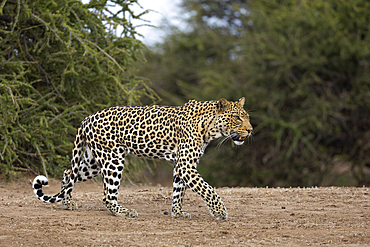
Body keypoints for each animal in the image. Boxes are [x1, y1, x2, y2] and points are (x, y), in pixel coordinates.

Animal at [32, 97, 251, 220]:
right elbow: (208, 189)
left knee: (69, 172)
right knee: (107, 195)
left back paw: (67, 203)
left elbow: (179, 192)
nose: (250, 130)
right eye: (238, 117)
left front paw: (177, 213)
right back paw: (124, 212)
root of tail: (87, 118)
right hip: (113, 159)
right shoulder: (186, 166)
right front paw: (220, 212)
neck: (209, 128)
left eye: (246, 116)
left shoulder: (181, 166)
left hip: (93, 161)